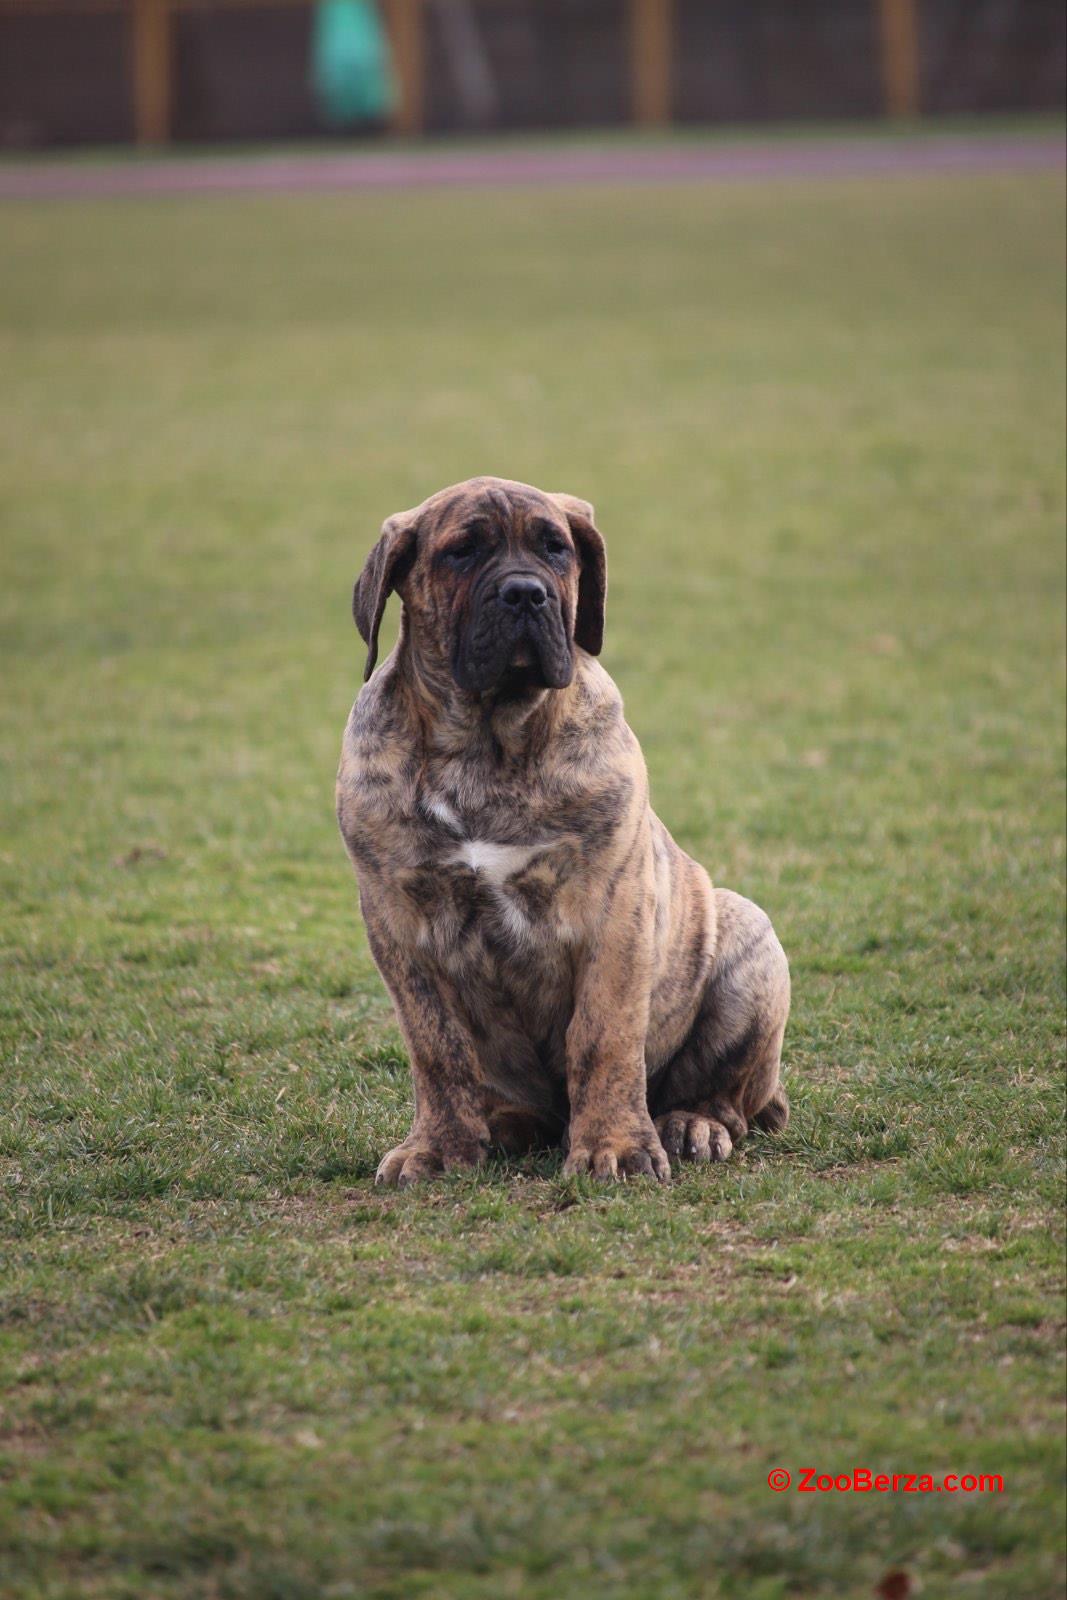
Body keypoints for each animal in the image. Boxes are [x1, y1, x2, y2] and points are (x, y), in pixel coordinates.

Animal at [337, 473, 790, 1190]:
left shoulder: (615, 910)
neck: (487, 742)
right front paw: (436, 1146)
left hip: (749, 939)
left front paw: (615, 1147)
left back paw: (691, 1123)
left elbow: (604, 1035)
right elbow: (436, 1047)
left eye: (556, 548)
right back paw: (500, 1126)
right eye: (460, 552)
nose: (526, 592)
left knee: (726, 1097)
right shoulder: (398, 922)